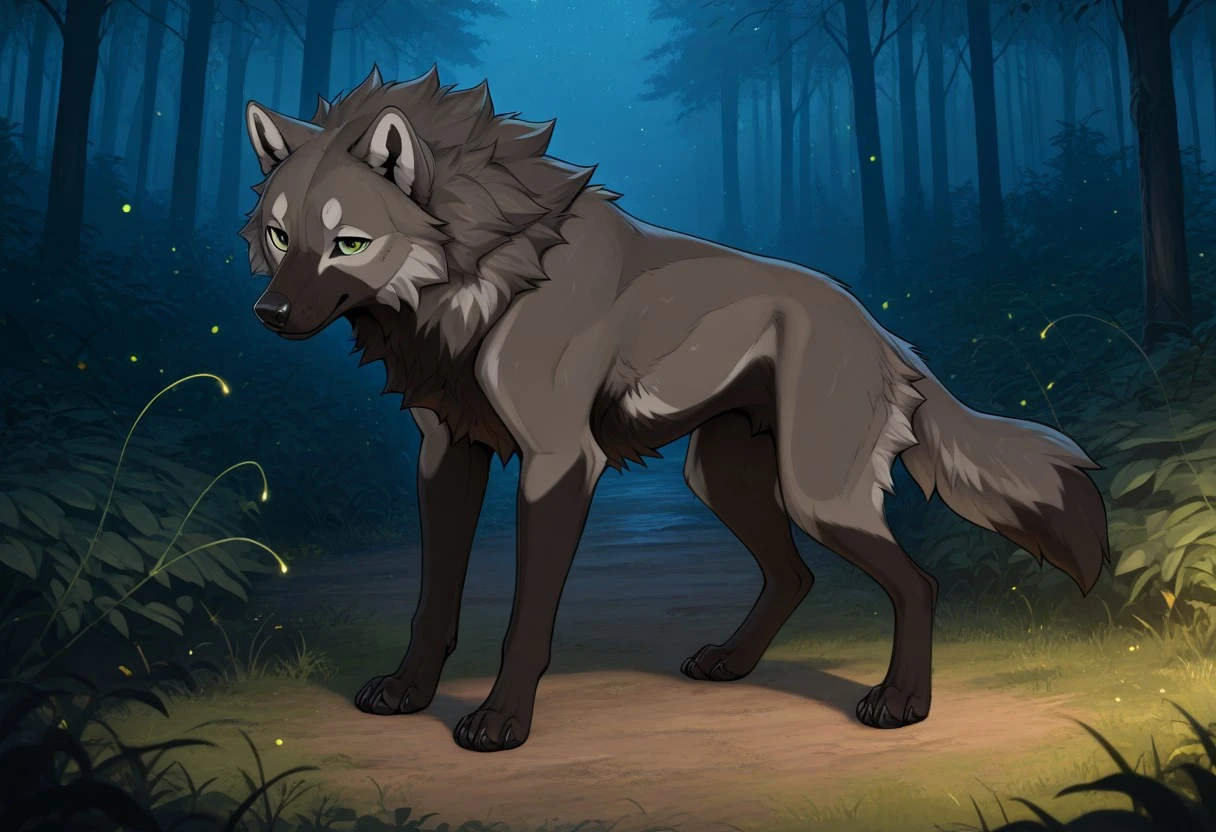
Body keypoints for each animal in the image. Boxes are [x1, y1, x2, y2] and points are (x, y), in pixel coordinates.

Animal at [241, 67, 1110, 752]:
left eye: (349, 244)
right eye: (281, 236)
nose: (269, 315)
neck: (486, 274)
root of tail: (886, 333)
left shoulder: (559, 464)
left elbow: (527, 620)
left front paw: (502, 722)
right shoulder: (448, 455)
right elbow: (434, 603)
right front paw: (409, 692)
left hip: (816, 496)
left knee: (917, 585)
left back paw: (902, 704)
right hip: (722, 482)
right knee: (794, 576)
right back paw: (733, 663)